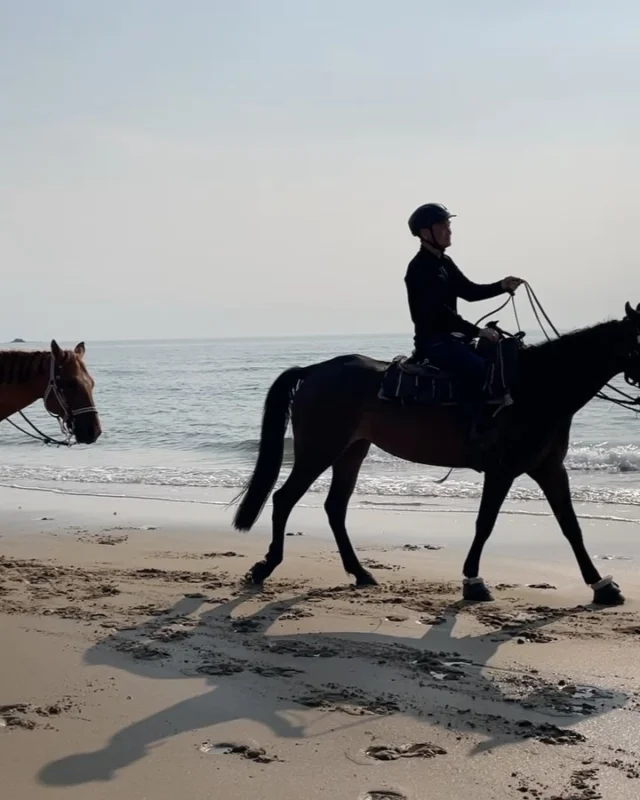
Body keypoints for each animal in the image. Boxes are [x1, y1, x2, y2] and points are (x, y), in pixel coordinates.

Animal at [232, 302, 640, 607]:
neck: (538, 387)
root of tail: (314, 371)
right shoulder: (502, 470)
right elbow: (485, 524)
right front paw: (473, 581)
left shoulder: (550, 469)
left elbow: (571, 526)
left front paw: (602, 586)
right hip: (319, 449)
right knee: (284, 499)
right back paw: (265, 566)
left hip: (351, 451)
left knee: (335, 508)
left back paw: (360, 572)